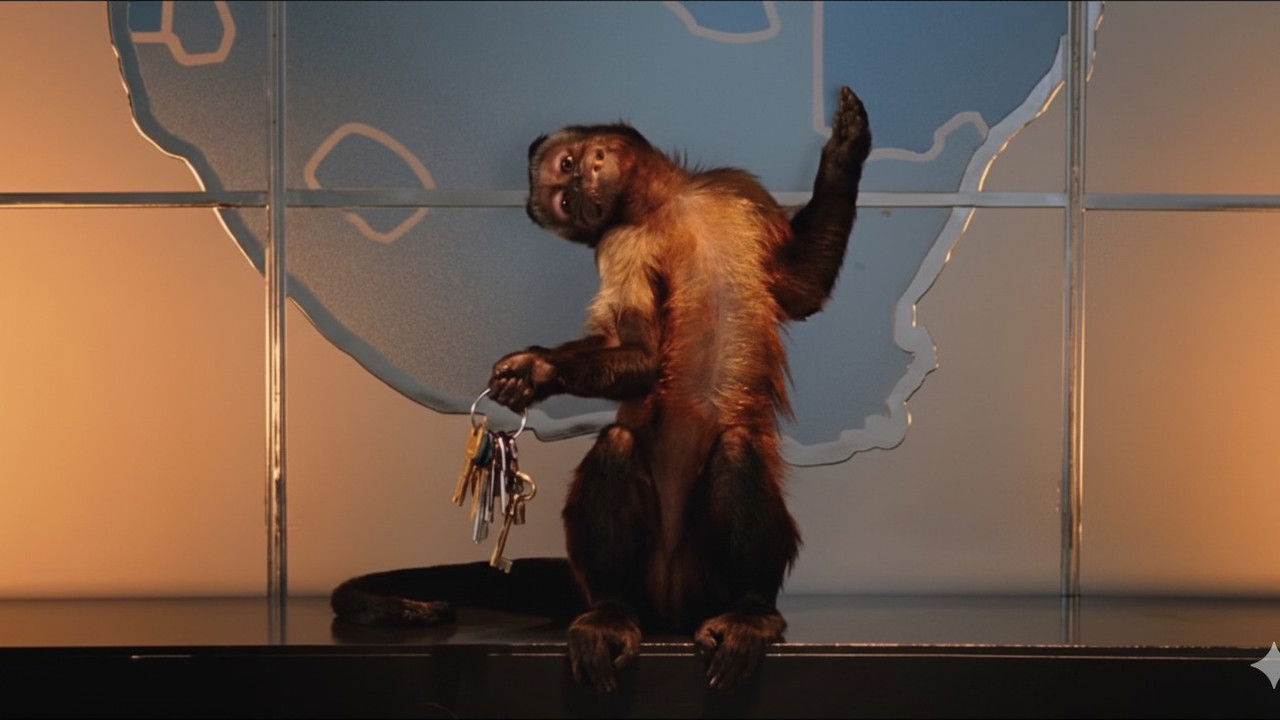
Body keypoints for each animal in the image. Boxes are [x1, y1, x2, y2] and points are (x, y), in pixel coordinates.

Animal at [332, 86, 870, 693]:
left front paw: (846, 150)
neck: (665, 205)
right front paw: (539, 371)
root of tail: (670, 609)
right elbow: (639, 355)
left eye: (568, 168)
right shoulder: (619, 242)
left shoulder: (739, 187)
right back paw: (612, 614)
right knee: (617, 445)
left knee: (736, 448)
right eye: (565, 200)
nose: (581, 192)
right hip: (644, 579)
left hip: (706, 580)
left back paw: (749, 609)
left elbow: (804, 290)